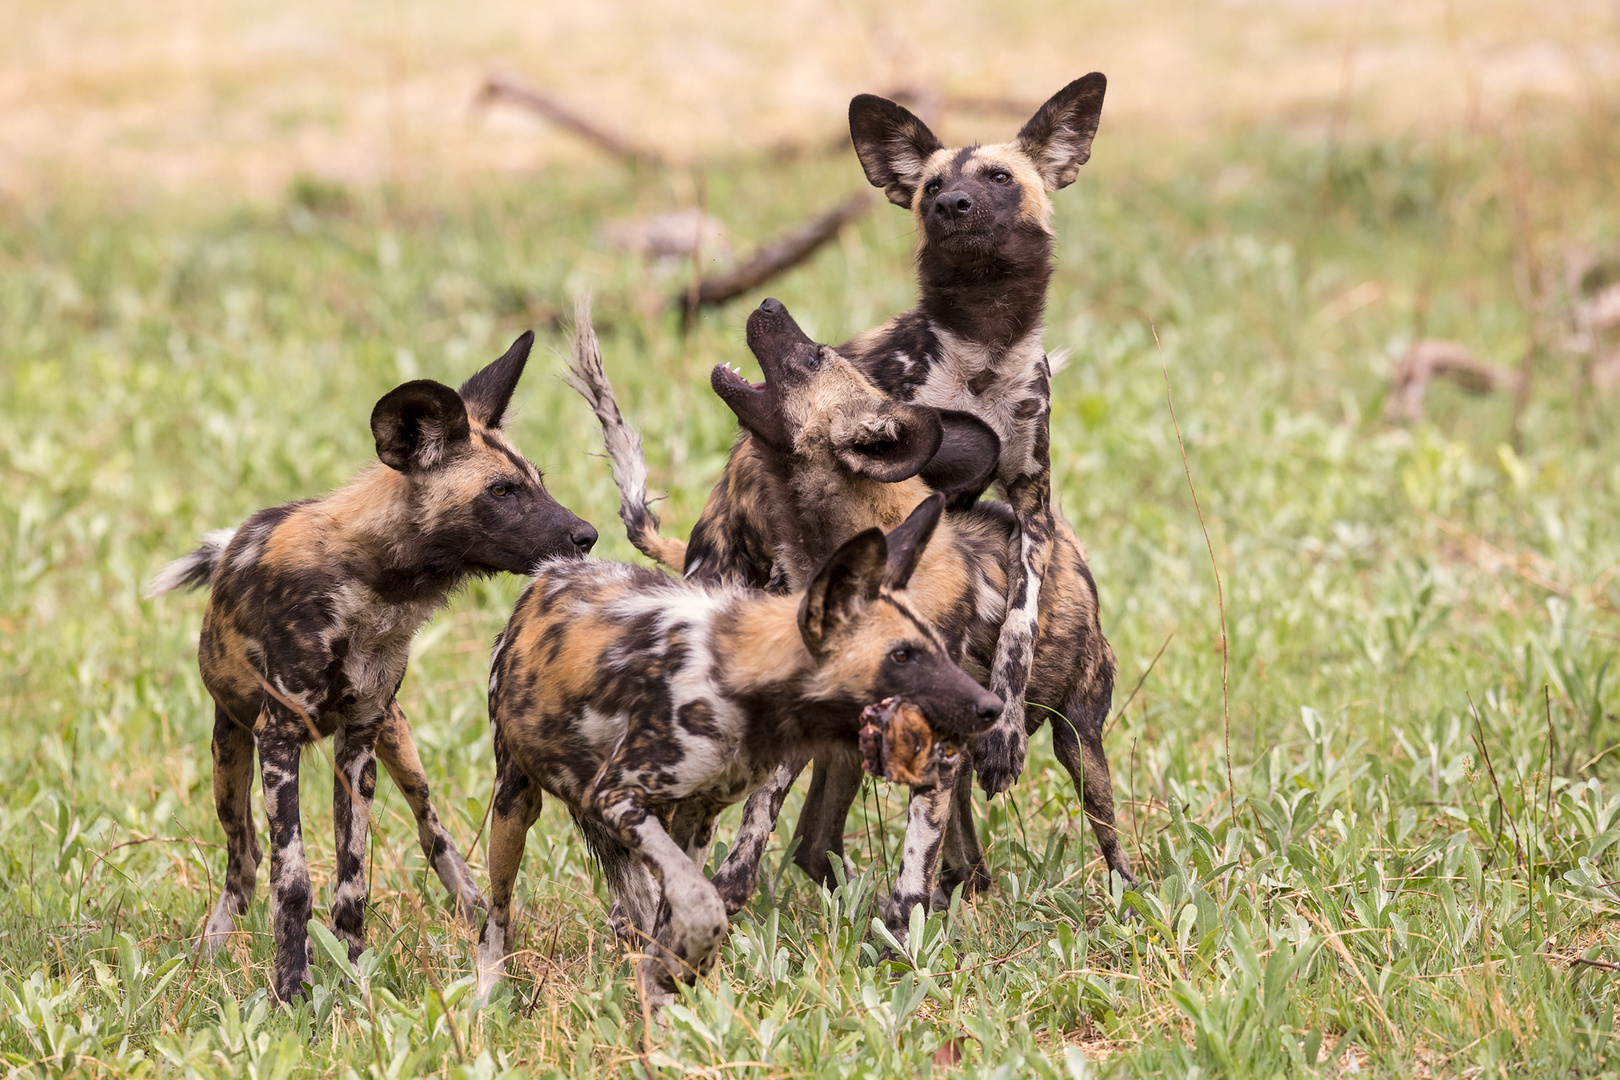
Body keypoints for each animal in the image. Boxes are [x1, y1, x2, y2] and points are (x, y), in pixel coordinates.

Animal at [147, 338, 596, 1003]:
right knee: (244, 862)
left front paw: (355, 980)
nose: (587, 535)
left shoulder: (358, 741)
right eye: (501, 492)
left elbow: (352, 882)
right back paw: (212, 951)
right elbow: (293, 882)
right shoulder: (279, 739)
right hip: (230, 756)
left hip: (398, 743)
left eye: (537, 484)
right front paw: (293, 992)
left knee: (434, 832)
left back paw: (475, 915)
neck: (375, 590)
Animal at [473, 498, 997, 1016]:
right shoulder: (614, 796)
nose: (990, 707)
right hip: (515, 806)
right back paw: (486, 994)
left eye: (940, 649)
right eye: (902, 656)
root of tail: (548, 573)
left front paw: (665, 1000)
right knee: (496, 915)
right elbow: (702, 904)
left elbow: (676, 914)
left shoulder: (696, 816)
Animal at [576, 299, 1134, 939]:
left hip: (1076, 742)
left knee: (1106, 835)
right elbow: (755, 825)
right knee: (833, 846)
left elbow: (915, 857)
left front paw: (904, 936)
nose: (768, 303)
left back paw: (1123, 897)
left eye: (814, 358)